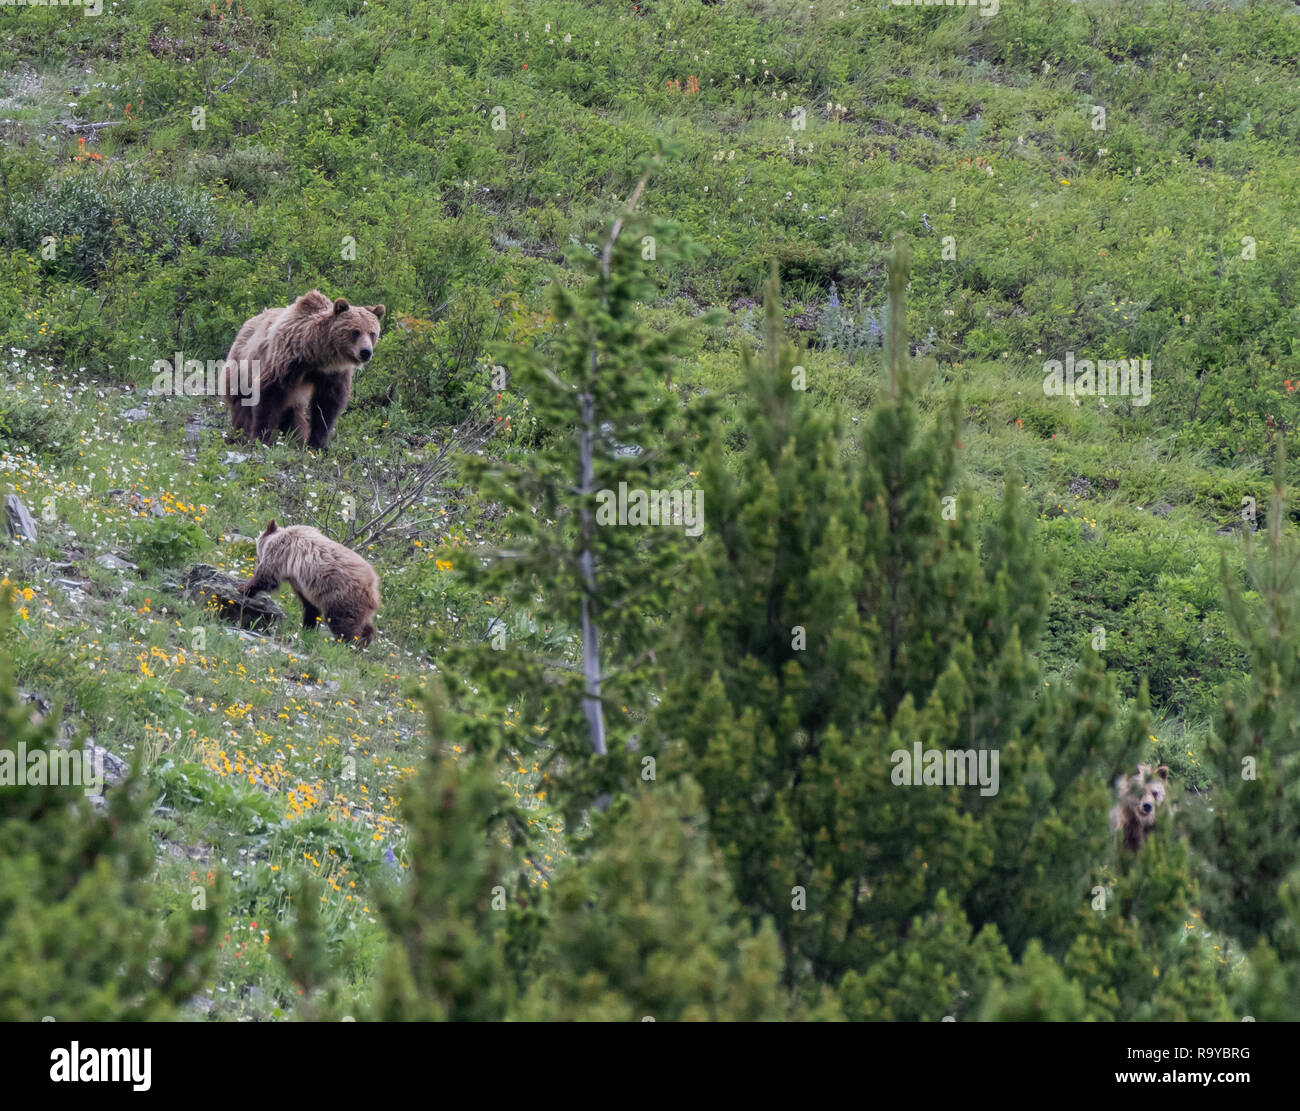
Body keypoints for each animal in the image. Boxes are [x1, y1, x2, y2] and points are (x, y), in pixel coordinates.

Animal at [220, 294, 382, 452]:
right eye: (355, 331)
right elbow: (269, 395)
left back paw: (296, 437)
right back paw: (242, 433)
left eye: (372, 333)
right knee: (242, 404)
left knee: (292, 413)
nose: (366, 352)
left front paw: (317, 443)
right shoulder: (286, 360)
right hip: (240, 369)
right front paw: (260, 438)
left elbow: (327, 405)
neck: (316, 355)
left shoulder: (332, 373)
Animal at [240, 522, 379, 647]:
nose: (257, 561)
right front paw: (308, 629)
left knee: (343, 622)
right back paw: (365, 640)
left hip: (341, 596)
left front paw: (244, 588)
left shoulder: (280, 552)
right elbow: (310, 606)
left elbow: (267, 576)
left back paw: (347, 644)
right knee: (363, 623)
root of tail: (372, 583)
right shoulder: (303, 585)